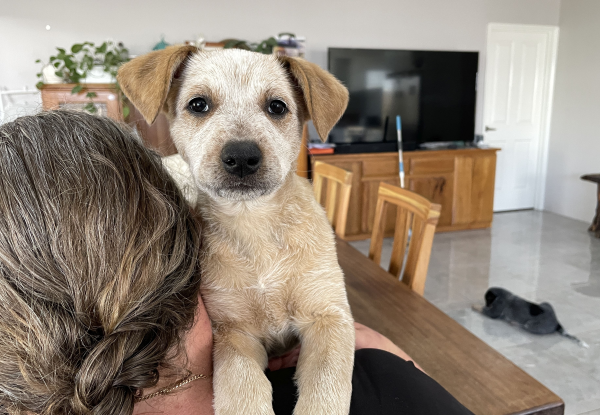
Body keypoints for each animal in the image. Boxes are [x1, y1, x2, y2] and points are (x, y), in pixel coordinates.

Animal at [119, 46, 356, 415]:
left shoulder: (328, 317)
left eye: (277, 107)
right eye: (198, 104)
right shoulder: (233, 333)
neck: (254, 224)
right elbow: (243, 389)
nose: (242, 156)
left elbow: (324, 392)